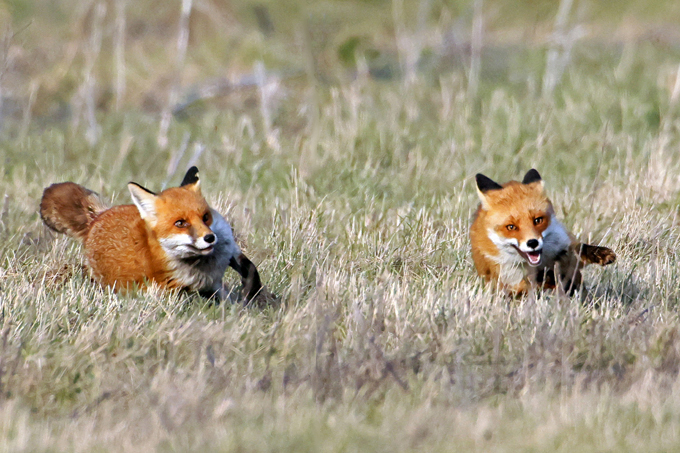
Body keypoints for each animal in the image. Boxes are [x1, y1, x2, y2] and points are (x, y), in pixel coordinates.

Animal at [39, 166, 263, 302]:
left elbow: (250, 269)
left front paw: (253, 294)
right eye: (180, 223)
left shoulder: (228, 251)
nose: (209, 238)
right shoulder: (172, 288)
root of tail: (99, 217)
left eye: (205, 217)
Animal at [469, 168, 616, 296]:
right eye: (511, 227)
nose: (532, 243)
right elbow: (531, 282)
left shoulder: (564, 248)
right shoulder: (508, 284)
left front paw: (600, 253)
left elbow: (579, 249)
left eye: (538, 220)